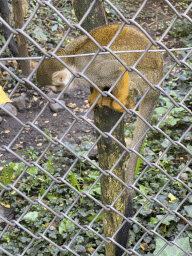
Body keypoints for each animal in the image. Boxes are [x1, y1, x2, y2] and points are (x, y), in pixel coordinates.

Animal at [36, 23, 164, 254]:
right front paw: (95, 95)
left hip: (145, 78)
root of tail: (158, 80)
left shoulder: (93, 68)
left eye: (51, 88)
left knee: (128, 73)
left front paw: (109, 99)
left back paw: (122, 104)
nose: (50, 95)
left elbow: (118, 69)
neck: (73, 59)